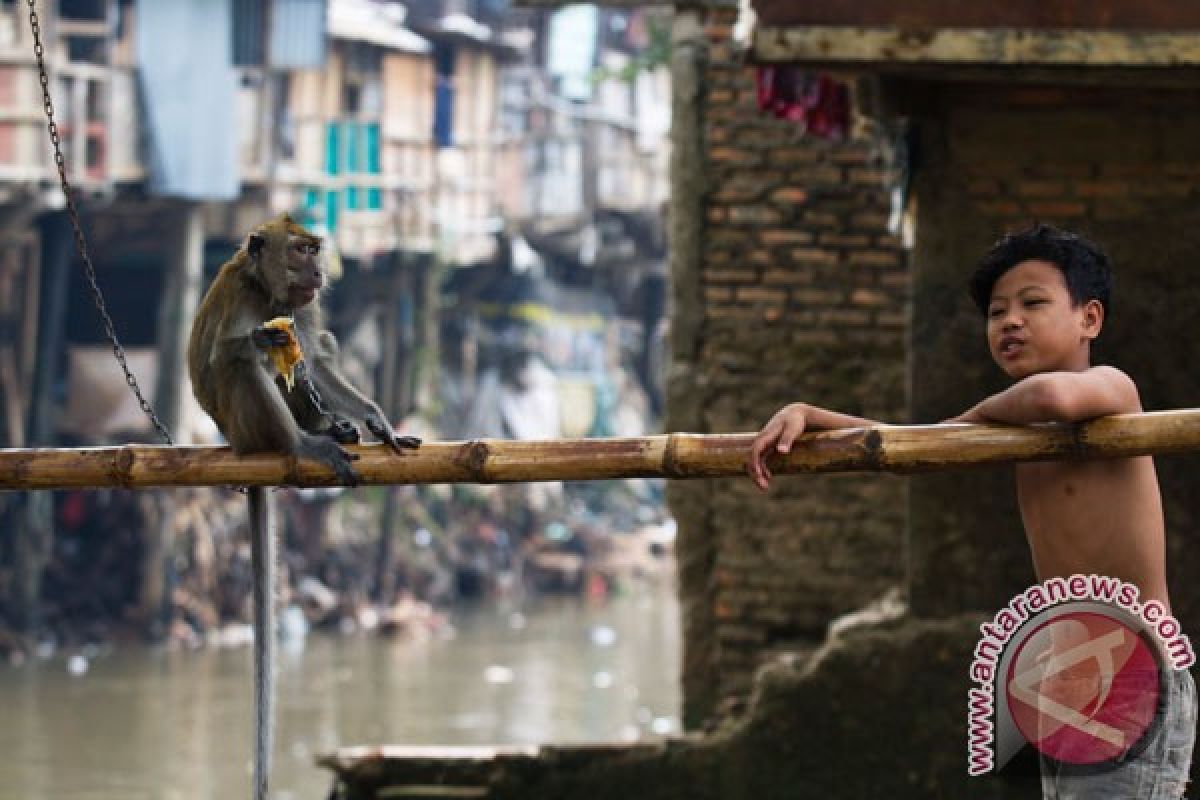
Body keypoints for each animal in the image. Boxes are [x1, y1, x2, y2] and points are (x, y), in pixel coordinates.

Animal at [183, 212, 417, 800]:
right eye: (300, 250)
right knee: (246, 365)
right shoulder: (244, 298)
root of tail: (235, 446)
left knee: (310, 357)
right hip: (246, 429)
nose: (317, 270)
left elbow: (314, 349)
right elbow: (231, 353)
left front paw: (377, 419)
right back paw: (301, 442)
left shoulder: (301, 307)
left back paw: (333, 425)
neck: (267, 292)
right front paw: (262, 337)